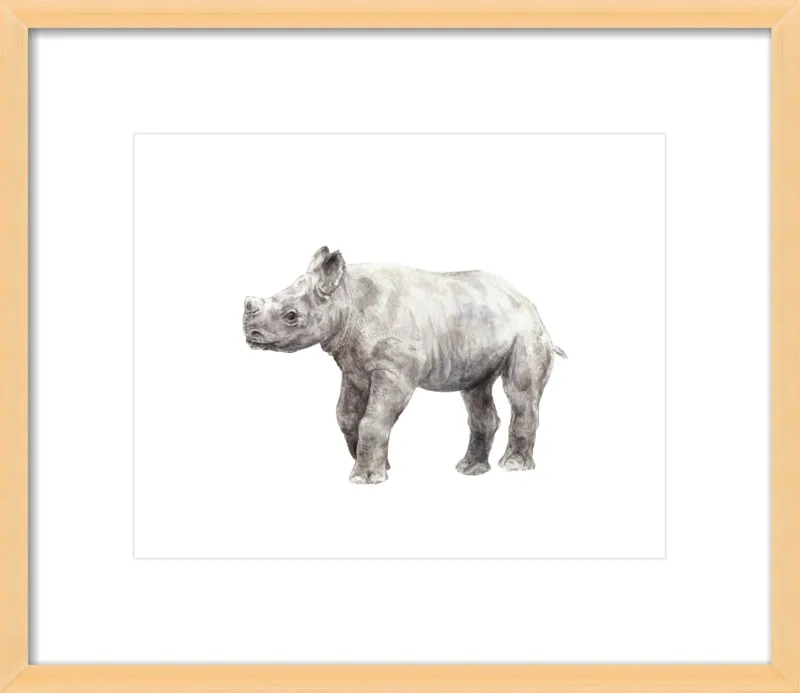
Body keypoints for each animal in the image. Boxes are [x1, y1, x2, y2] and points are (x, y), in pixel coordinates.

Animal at [243, 247, 565, 484]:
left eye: (291, 316)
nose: (251, 334)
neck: (346, 297)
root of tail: (531, 307)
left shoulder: (395, 370)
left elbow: (373, 418)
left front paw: (364, 479)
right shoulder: (354, 367)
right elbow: (346, 415)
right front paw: (381, 465)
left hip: (527, 332)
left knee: (519, 392)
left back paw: (513, 467)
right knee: (476, 389)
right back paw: (469, 470)